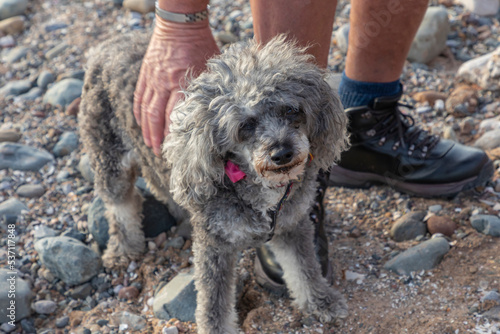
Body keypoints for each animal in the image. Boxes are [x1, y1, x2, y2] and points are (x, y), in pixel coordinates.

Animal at [80, 30, 350, 332]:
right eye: (245, 125)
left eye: (291, 110)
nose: (281, 153)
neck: (258, 189)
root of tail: (111, 42)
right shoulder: (214, 245)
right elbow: (214, 303)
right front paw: (217, 328)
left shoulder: (292, 225)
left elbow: (304, 269)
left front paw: (321, 301)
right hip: (108, 156)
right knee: (121, 205)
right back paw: (123, 248)